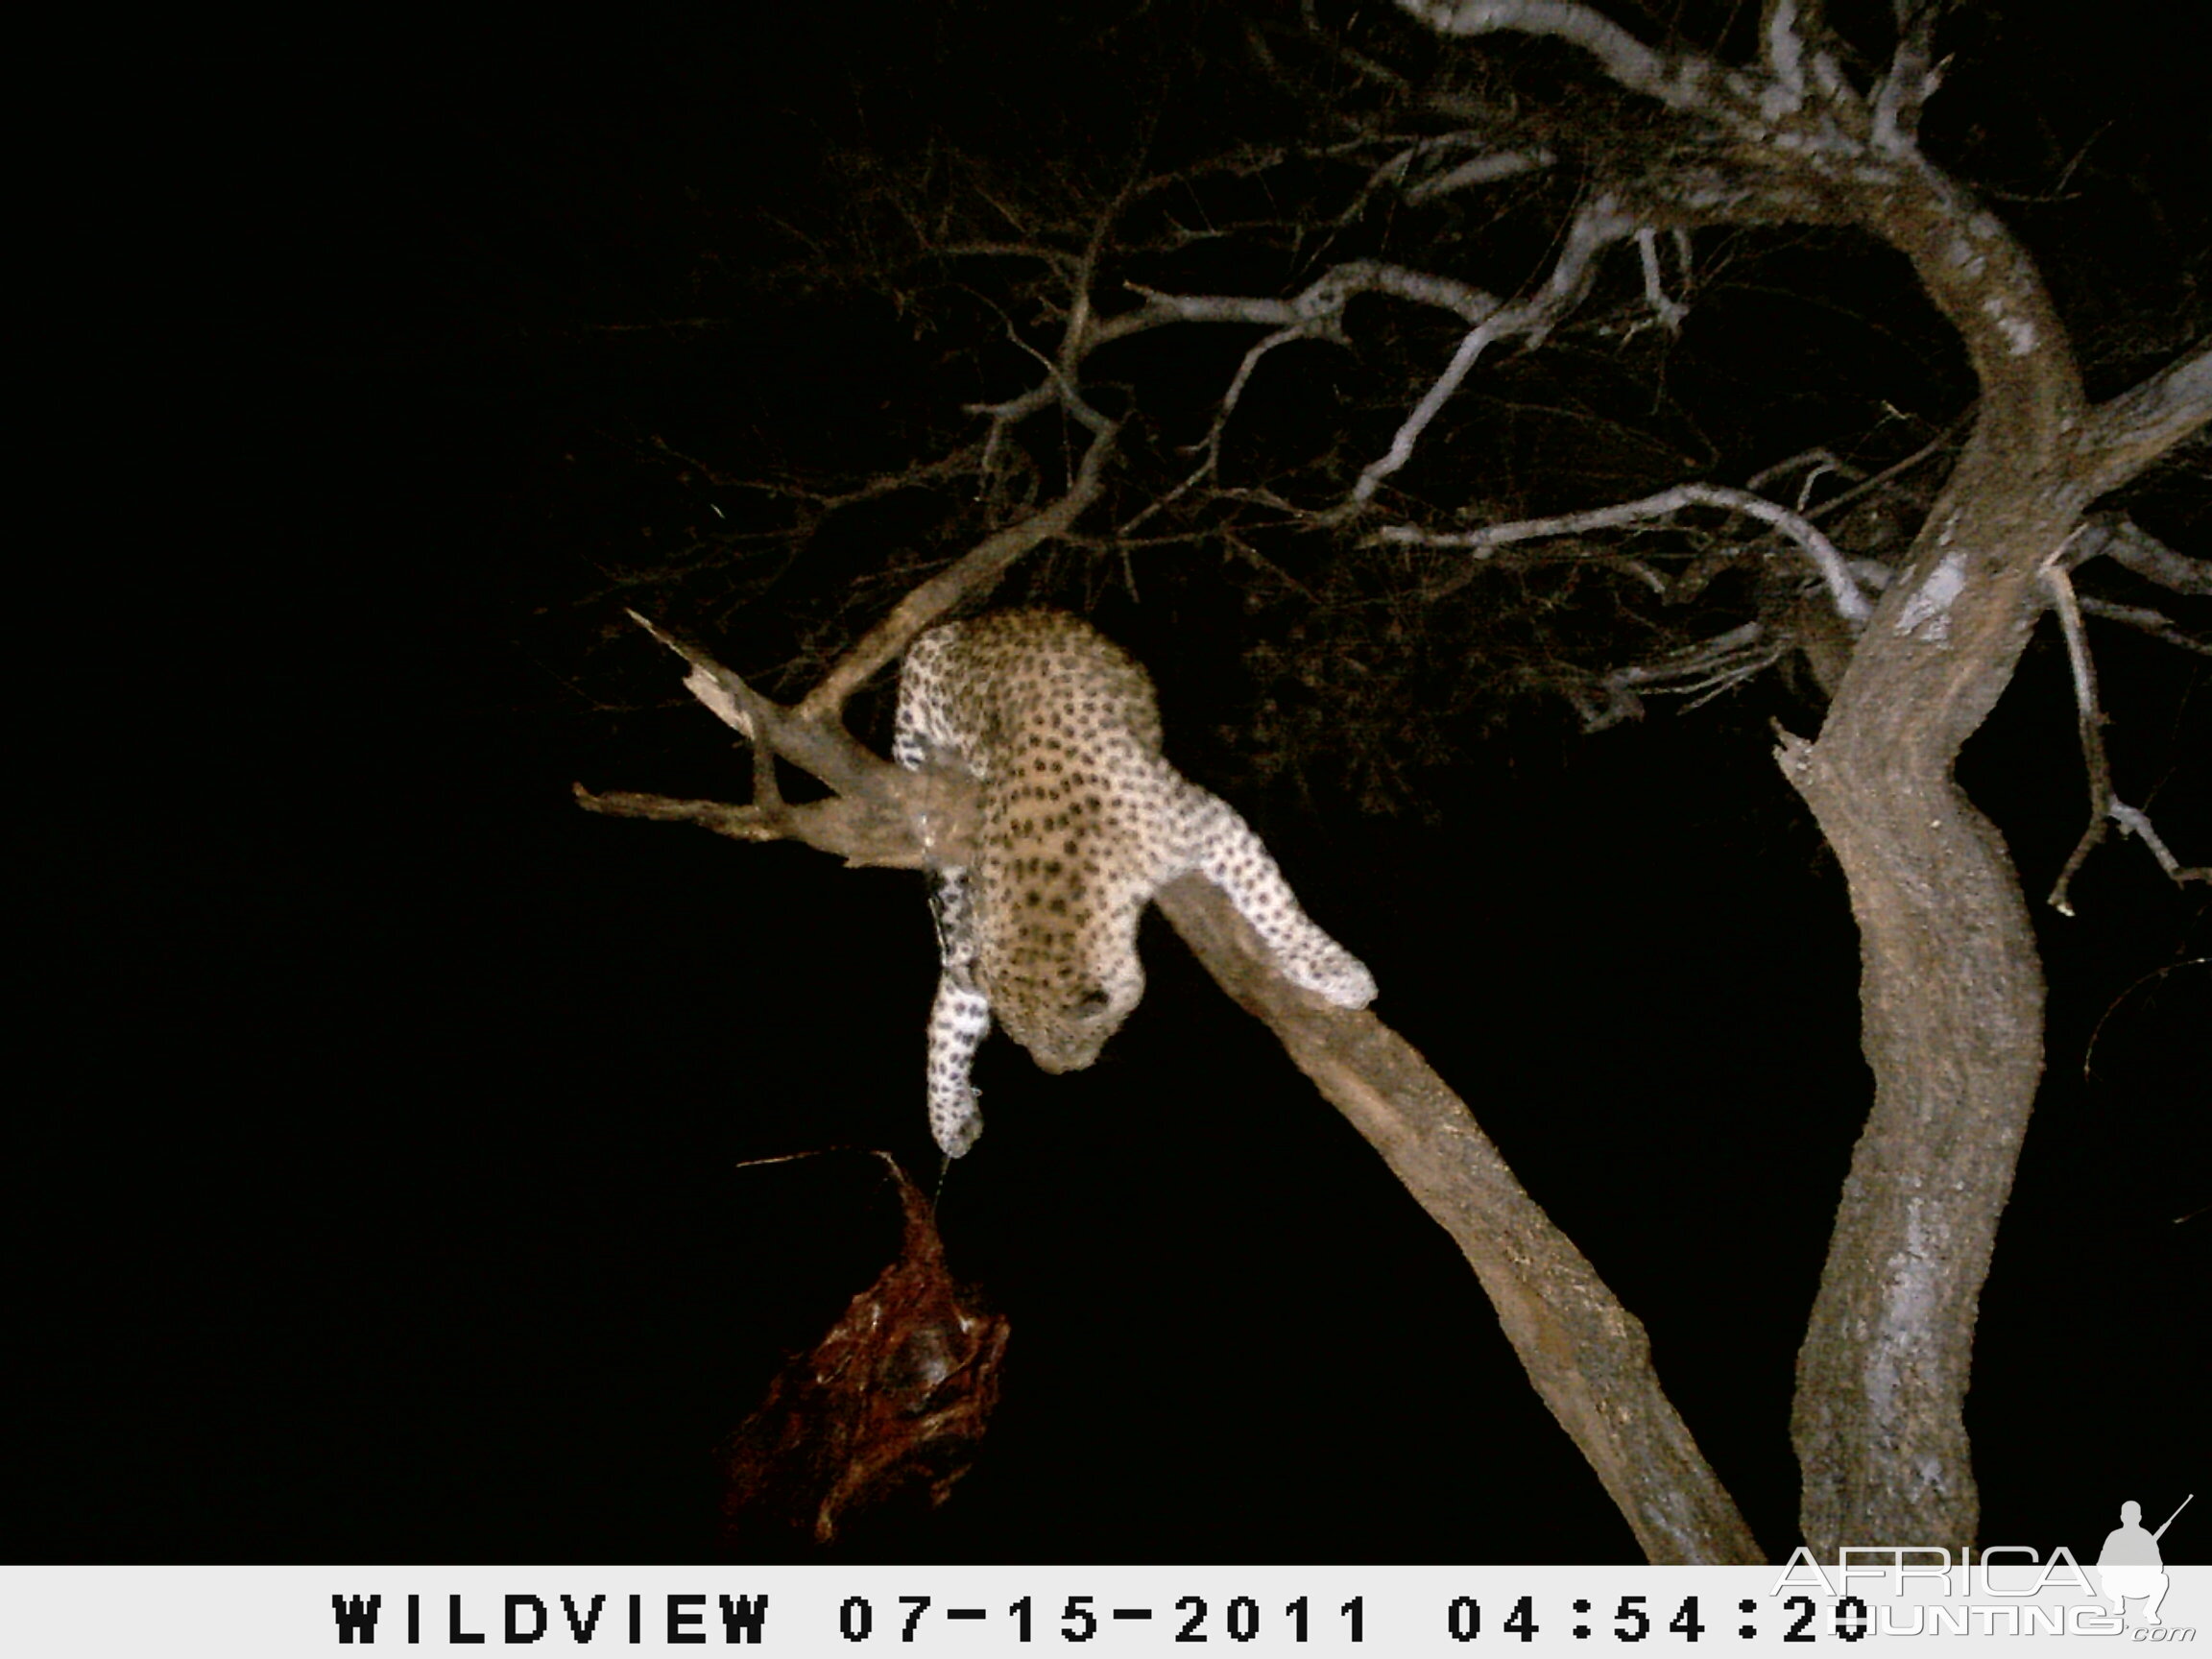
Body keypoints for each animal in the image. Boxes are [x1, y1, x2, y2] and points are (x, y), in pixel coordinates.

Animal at [889, 606, 1371, 1159]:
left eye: (1070, 1039)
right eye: (1025, 1041)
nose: (1061, 1071)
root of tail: (977, 621)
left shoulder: (1208, 823)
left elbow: (1272, 905)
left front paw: (1338, 972)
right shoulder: (978, 928)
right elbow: (953, 1014)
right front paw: (947, 1116)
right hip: (923, 671)